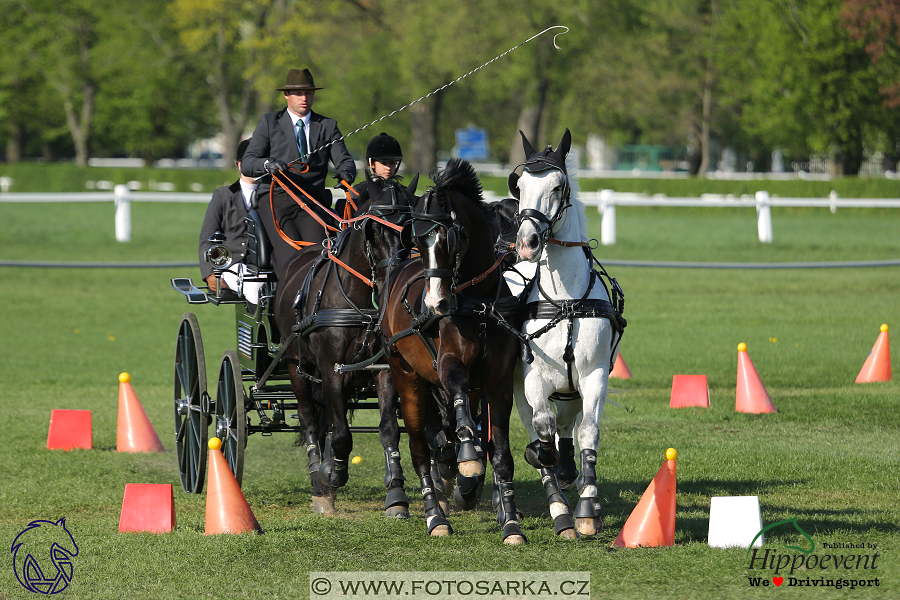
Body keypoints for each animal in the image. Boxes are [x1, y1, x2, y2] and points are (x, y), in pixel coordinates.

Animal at [272, 173, 416, 516]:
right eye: (374, 229)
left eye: (409, 227)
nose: (393, 275)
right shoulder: (331, 369)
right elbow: (340, 436)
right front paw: (333, 474)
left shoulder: (383, 368)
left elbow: (388, 429)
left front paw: (396, 494)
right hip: (297, 366)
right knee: (311, 420)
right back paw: (318, 483)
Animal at [376, 159, 524, 544]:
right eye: (416, 238)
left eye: (448, 237)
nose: (434, 304)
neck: (480, 304)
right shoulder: (447, 365)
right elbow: (457, 388)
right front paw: (468, 454)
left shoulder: (499, 382)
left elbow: (501, 453)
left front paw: (511, 523)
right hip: (404, 376)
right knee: (417, 449)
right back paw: (435, 515)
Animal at [506, 127, 624, 540]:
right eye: (520, 186)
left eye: (557, 186)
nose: (526, 243)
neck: (565, 301)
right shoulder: (532, 378)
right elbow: (541, 434)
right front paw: (561, 509)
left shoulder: (593, 375)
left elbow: (587, 431)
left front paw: (588, 508)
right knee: (541, 428)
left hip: (572, 388)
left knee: (567, 424)